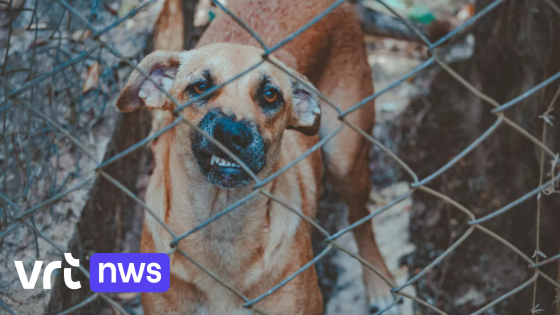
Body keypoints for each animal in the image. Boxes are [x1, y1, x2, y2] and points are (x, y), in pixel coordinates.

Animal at [117, 1, 398, 314]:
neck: (220, 224)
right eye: (200, 87)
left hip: (345, 159)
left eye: (270, 95)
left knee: (361, 219)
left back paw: (378, 282)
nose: (231, 133)